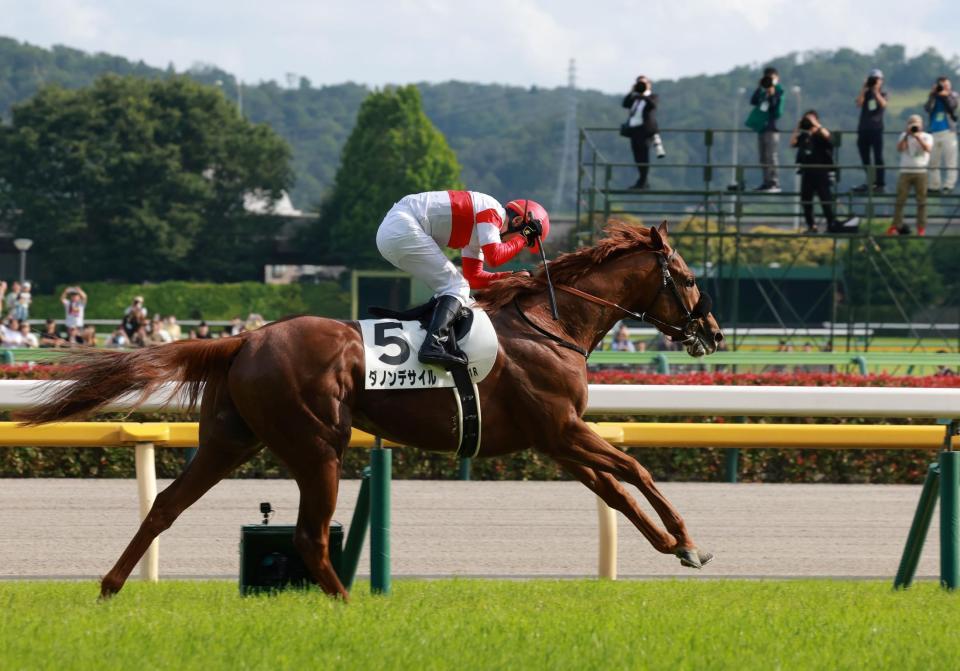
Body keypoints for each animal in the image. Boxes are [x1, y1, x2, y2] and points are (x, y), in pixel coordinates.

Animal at [16, 223, 720, 600]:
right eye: (688, 278)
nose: (711, 332)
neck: (553, 324)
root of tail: (244, 337)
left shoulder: (556, 439)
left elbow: (617, 488)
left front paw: (673, 546)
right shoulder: (562, 429)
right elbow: (636, 470)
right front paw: (687, 540)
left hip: (230, 440)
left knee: (165, 505)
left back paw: (110, 586)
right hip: (316, 445)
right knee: (307, 535)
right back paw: (350, 602)